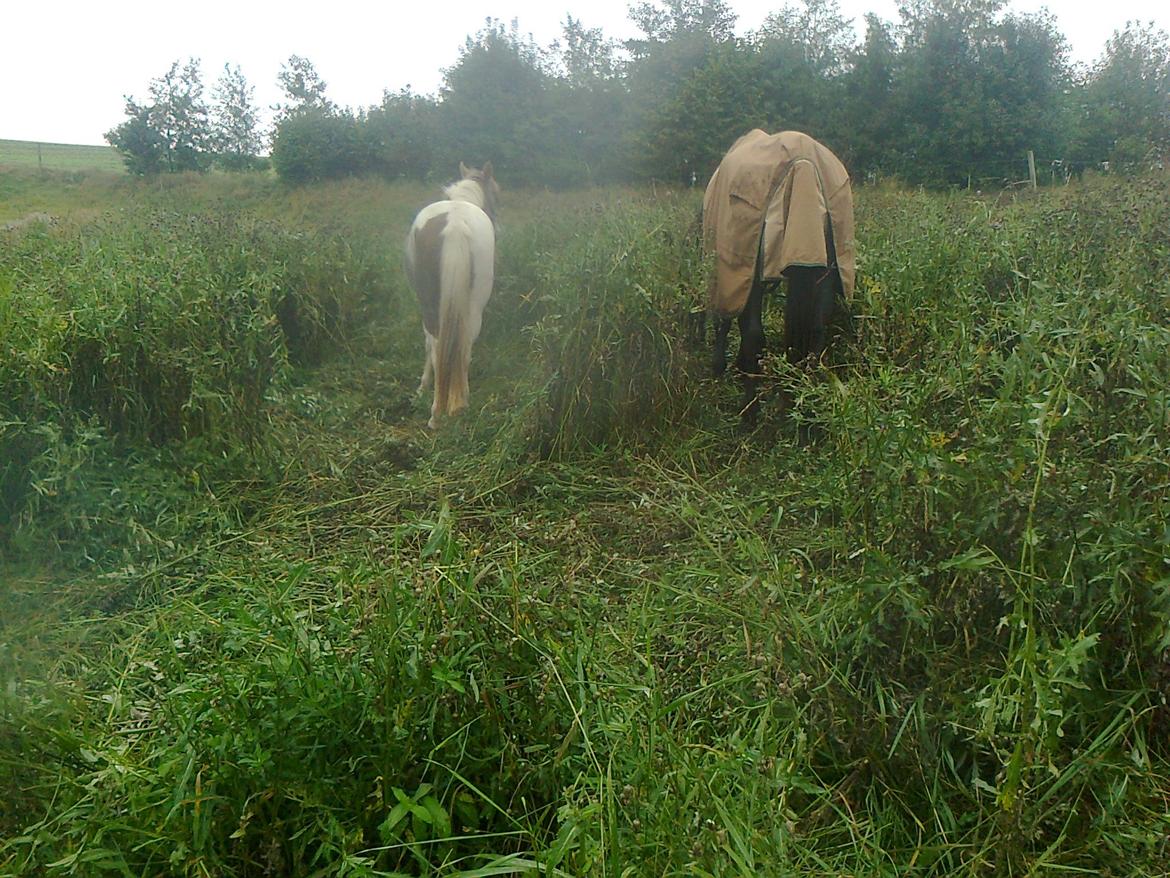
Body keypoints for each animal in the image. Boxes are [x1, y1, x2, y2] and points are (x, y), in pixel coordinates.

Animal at [402, 163, 498, 430]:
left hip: (431, 306)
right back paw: (459, 404)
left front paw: (422, 386)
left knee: (438, 347)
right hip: (472, 309)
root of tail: (455, 225)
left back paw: (437, 414)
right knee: (463, 347)